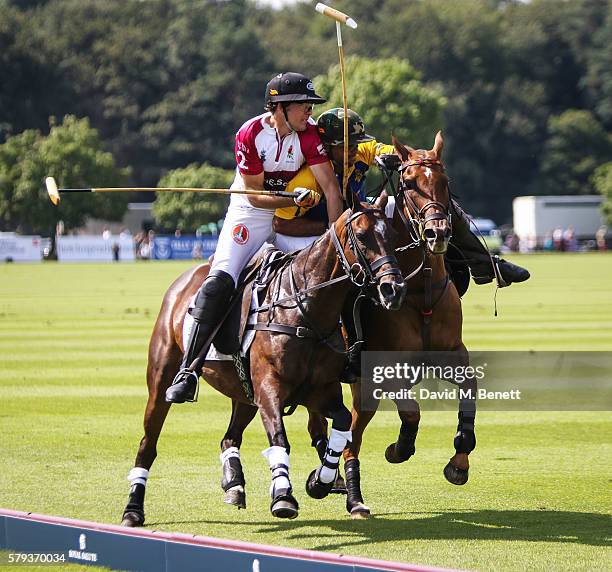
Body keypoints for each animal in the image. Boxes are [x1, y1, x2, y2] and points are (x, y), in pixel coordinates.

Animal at [119, 198, 406, 528]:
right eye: (361, 236)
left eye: (393, 236)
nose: (394, 289)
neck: (304, 311)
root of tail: (185, 279)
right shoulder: (270, 388)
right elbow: (280, 438)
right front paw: (283, 495)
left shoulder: (320, 390)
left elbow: (343, 422)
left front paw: (319, 481)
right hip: (162, 376)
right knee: (148, 443)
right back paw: (133, 508)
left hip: (244, 392)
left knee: (229, 437)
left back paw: (234, 484)